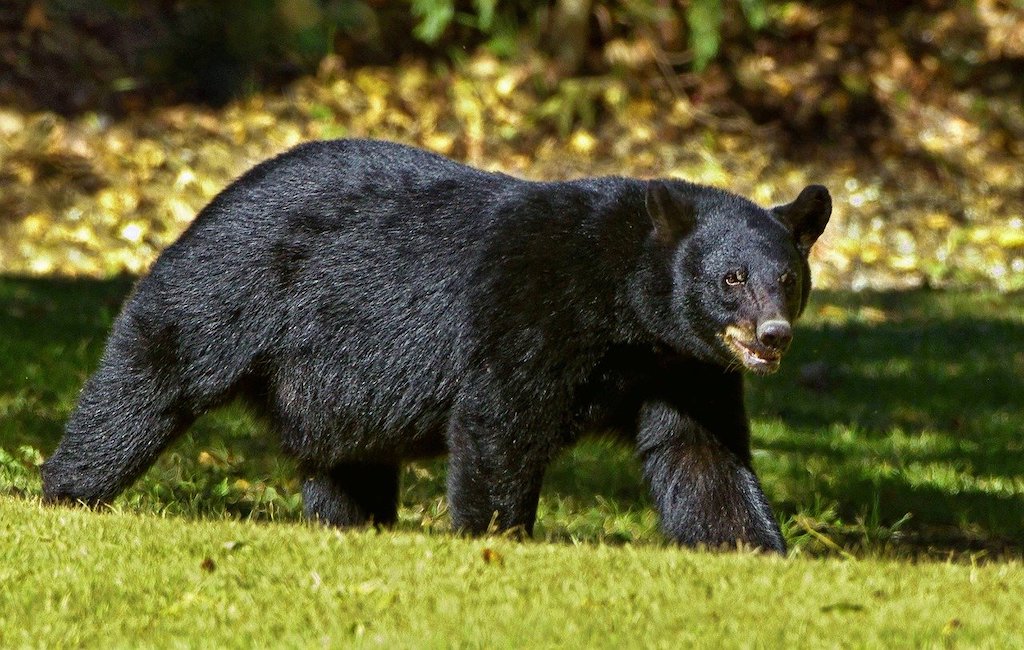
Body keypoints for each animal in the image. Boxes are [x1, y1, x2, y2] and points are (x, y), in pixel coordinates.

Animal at [44, 138, 835, 552]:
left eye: (788, 278)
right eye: (730, 279)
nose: (772, 335)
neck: (625, 310)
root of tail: (215, 196)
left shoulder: (682, 365)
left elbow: (701, 454)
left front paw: (755, 548)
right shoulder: (531, 308)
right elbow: (500, 422)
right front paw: (497, 539)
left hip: (332, 387)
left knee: (346, 463)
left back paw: (352, 525)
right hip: (230, 286)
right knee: (151, 374)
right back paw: (67, 491)